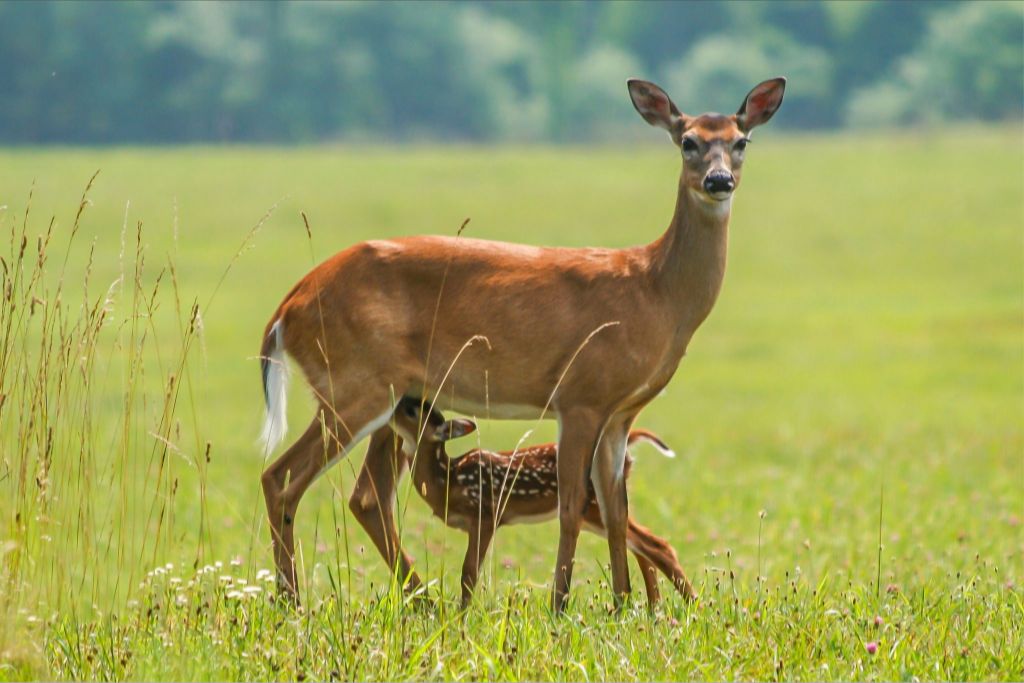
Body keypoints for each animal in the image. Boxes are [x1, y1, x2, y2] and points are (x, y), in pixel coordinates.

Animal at [260, 77, 786, 610]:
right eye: (688, 142)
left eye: (741, 142)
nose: (719, 181)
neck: (655, 290)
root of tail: (286, 308)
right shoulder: (580, 397)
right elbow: (572, 504)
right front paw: (561, 606)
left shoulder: (620, 413)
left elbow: (615, 511)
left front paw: (624, 606)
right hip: (355, 384)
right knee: (282, 477)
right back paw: (293, 603)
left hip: (390, 399)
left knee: (366, 495)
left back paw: (415, 600)